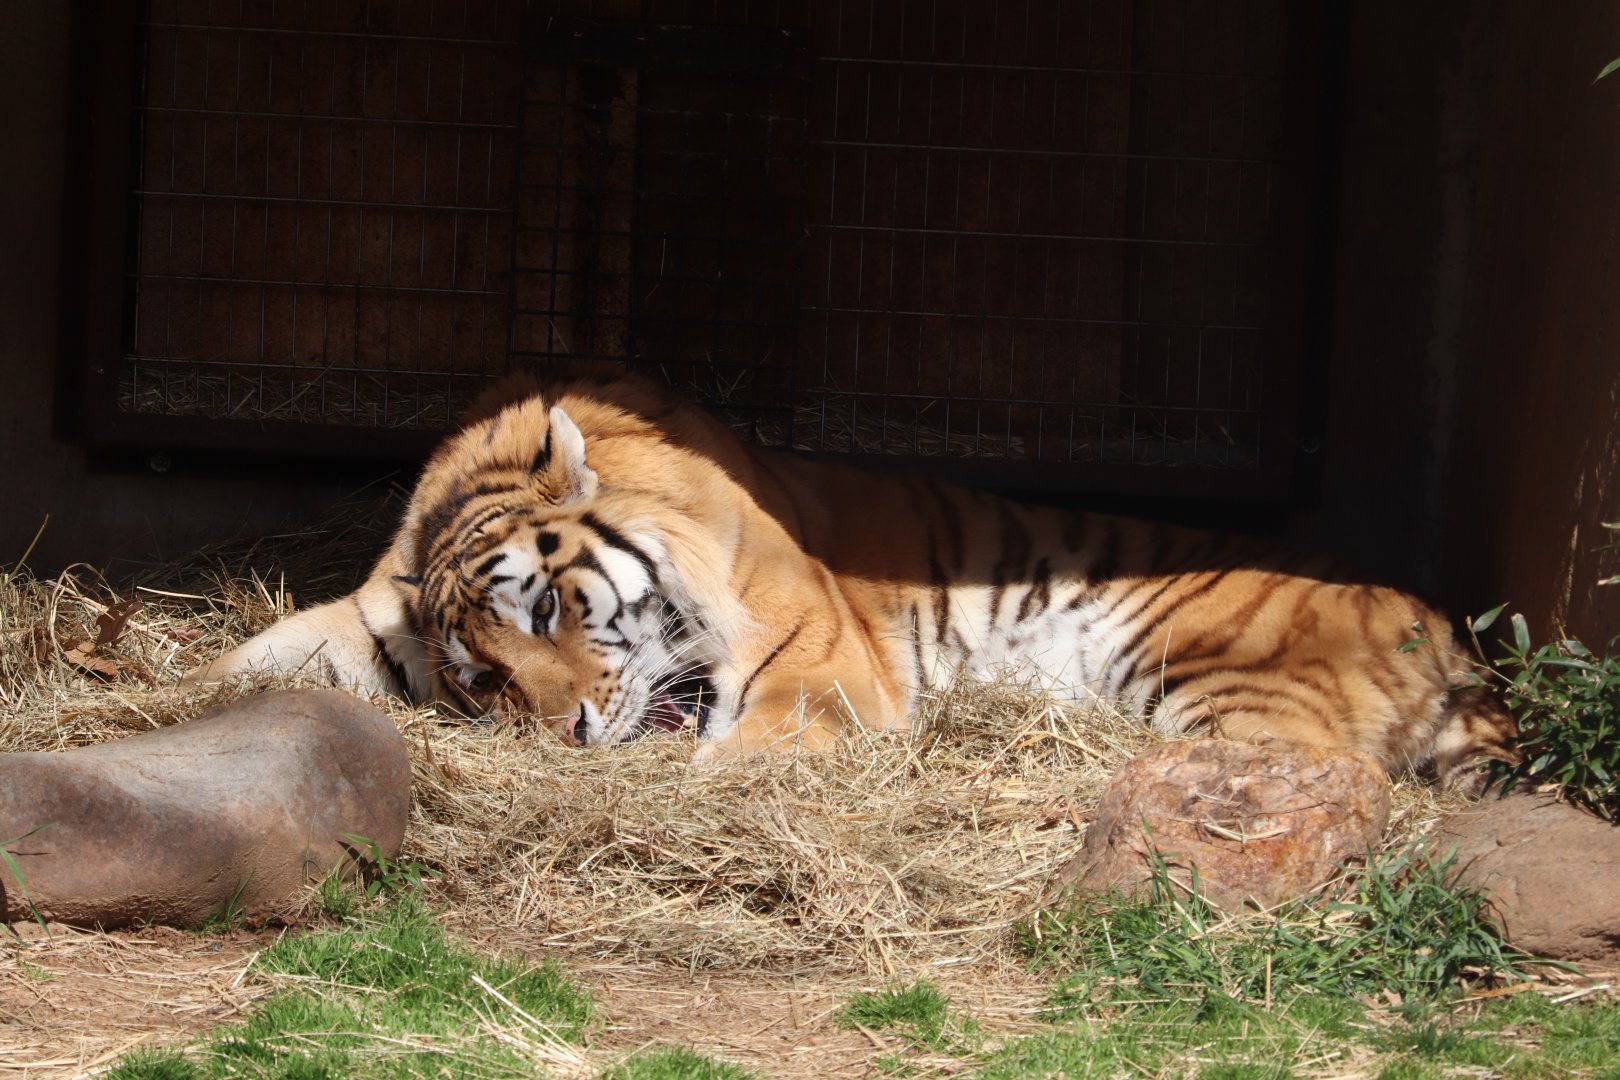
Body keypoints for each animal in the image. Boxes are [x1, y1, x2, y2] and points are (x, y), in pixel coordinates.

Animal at [183, 371, 1518, 786]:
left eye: (558, 607)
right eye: (477, 678)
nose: (564, 733)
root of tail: (1446, 620)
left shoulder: (817, 671)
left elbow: (739, 755)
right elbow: (293, 647)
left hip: (1223, 678)